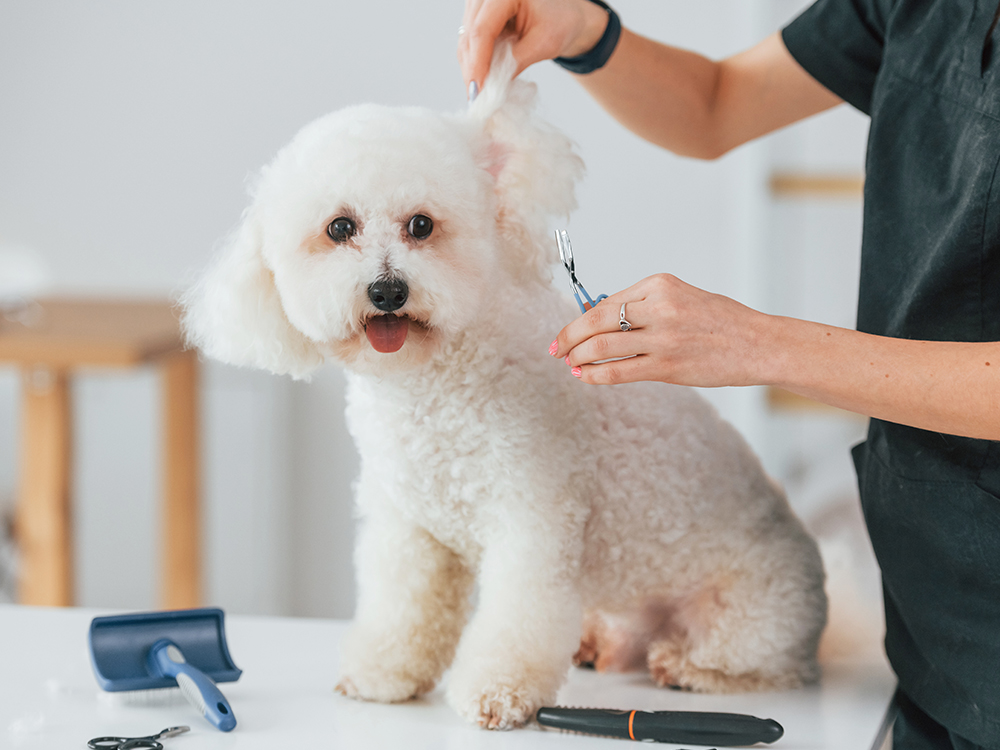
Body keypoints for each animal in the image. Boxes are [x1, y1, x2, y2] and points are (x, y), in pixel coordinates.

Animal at [184, 48, 824, 736]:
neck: (434, 389)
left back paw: (686, 666)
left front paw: (499, 692)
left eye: (421, 225)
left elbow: (517, 619)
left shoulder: (533, 519)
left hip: (751, 616)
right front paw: (383, 674)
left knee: (768, 666)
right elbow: (401, 608)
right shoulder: (410, 528)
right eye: (338, 227)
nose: (387, 291)